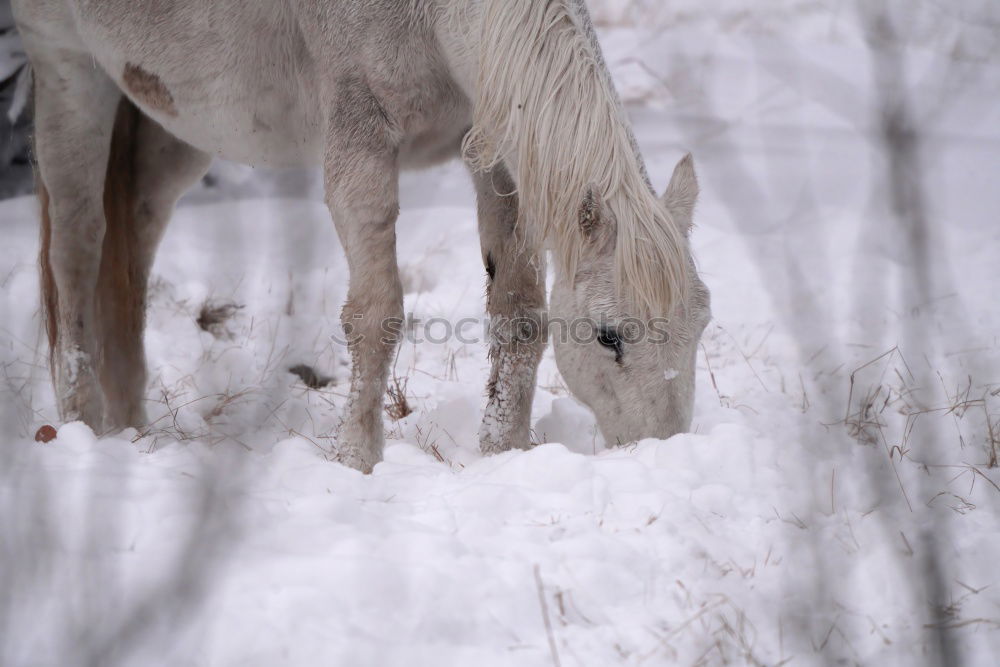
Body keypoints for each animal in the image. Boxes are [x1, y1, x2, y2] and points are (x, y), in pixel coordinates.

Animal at [11, 0, 708, 472]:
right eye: (610, 336)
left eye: (700, 324)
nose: (664, 451)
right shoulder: (359, 137)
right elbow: (376, 313)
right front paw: (356, 459)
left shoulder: (496, 152)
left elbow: (519, 312)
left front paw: (503, 450)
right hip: (70, 72)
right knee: (75, 248)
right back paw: (81, 423)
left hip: (170, 119)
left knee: (133, 239)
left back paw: (130, 426)